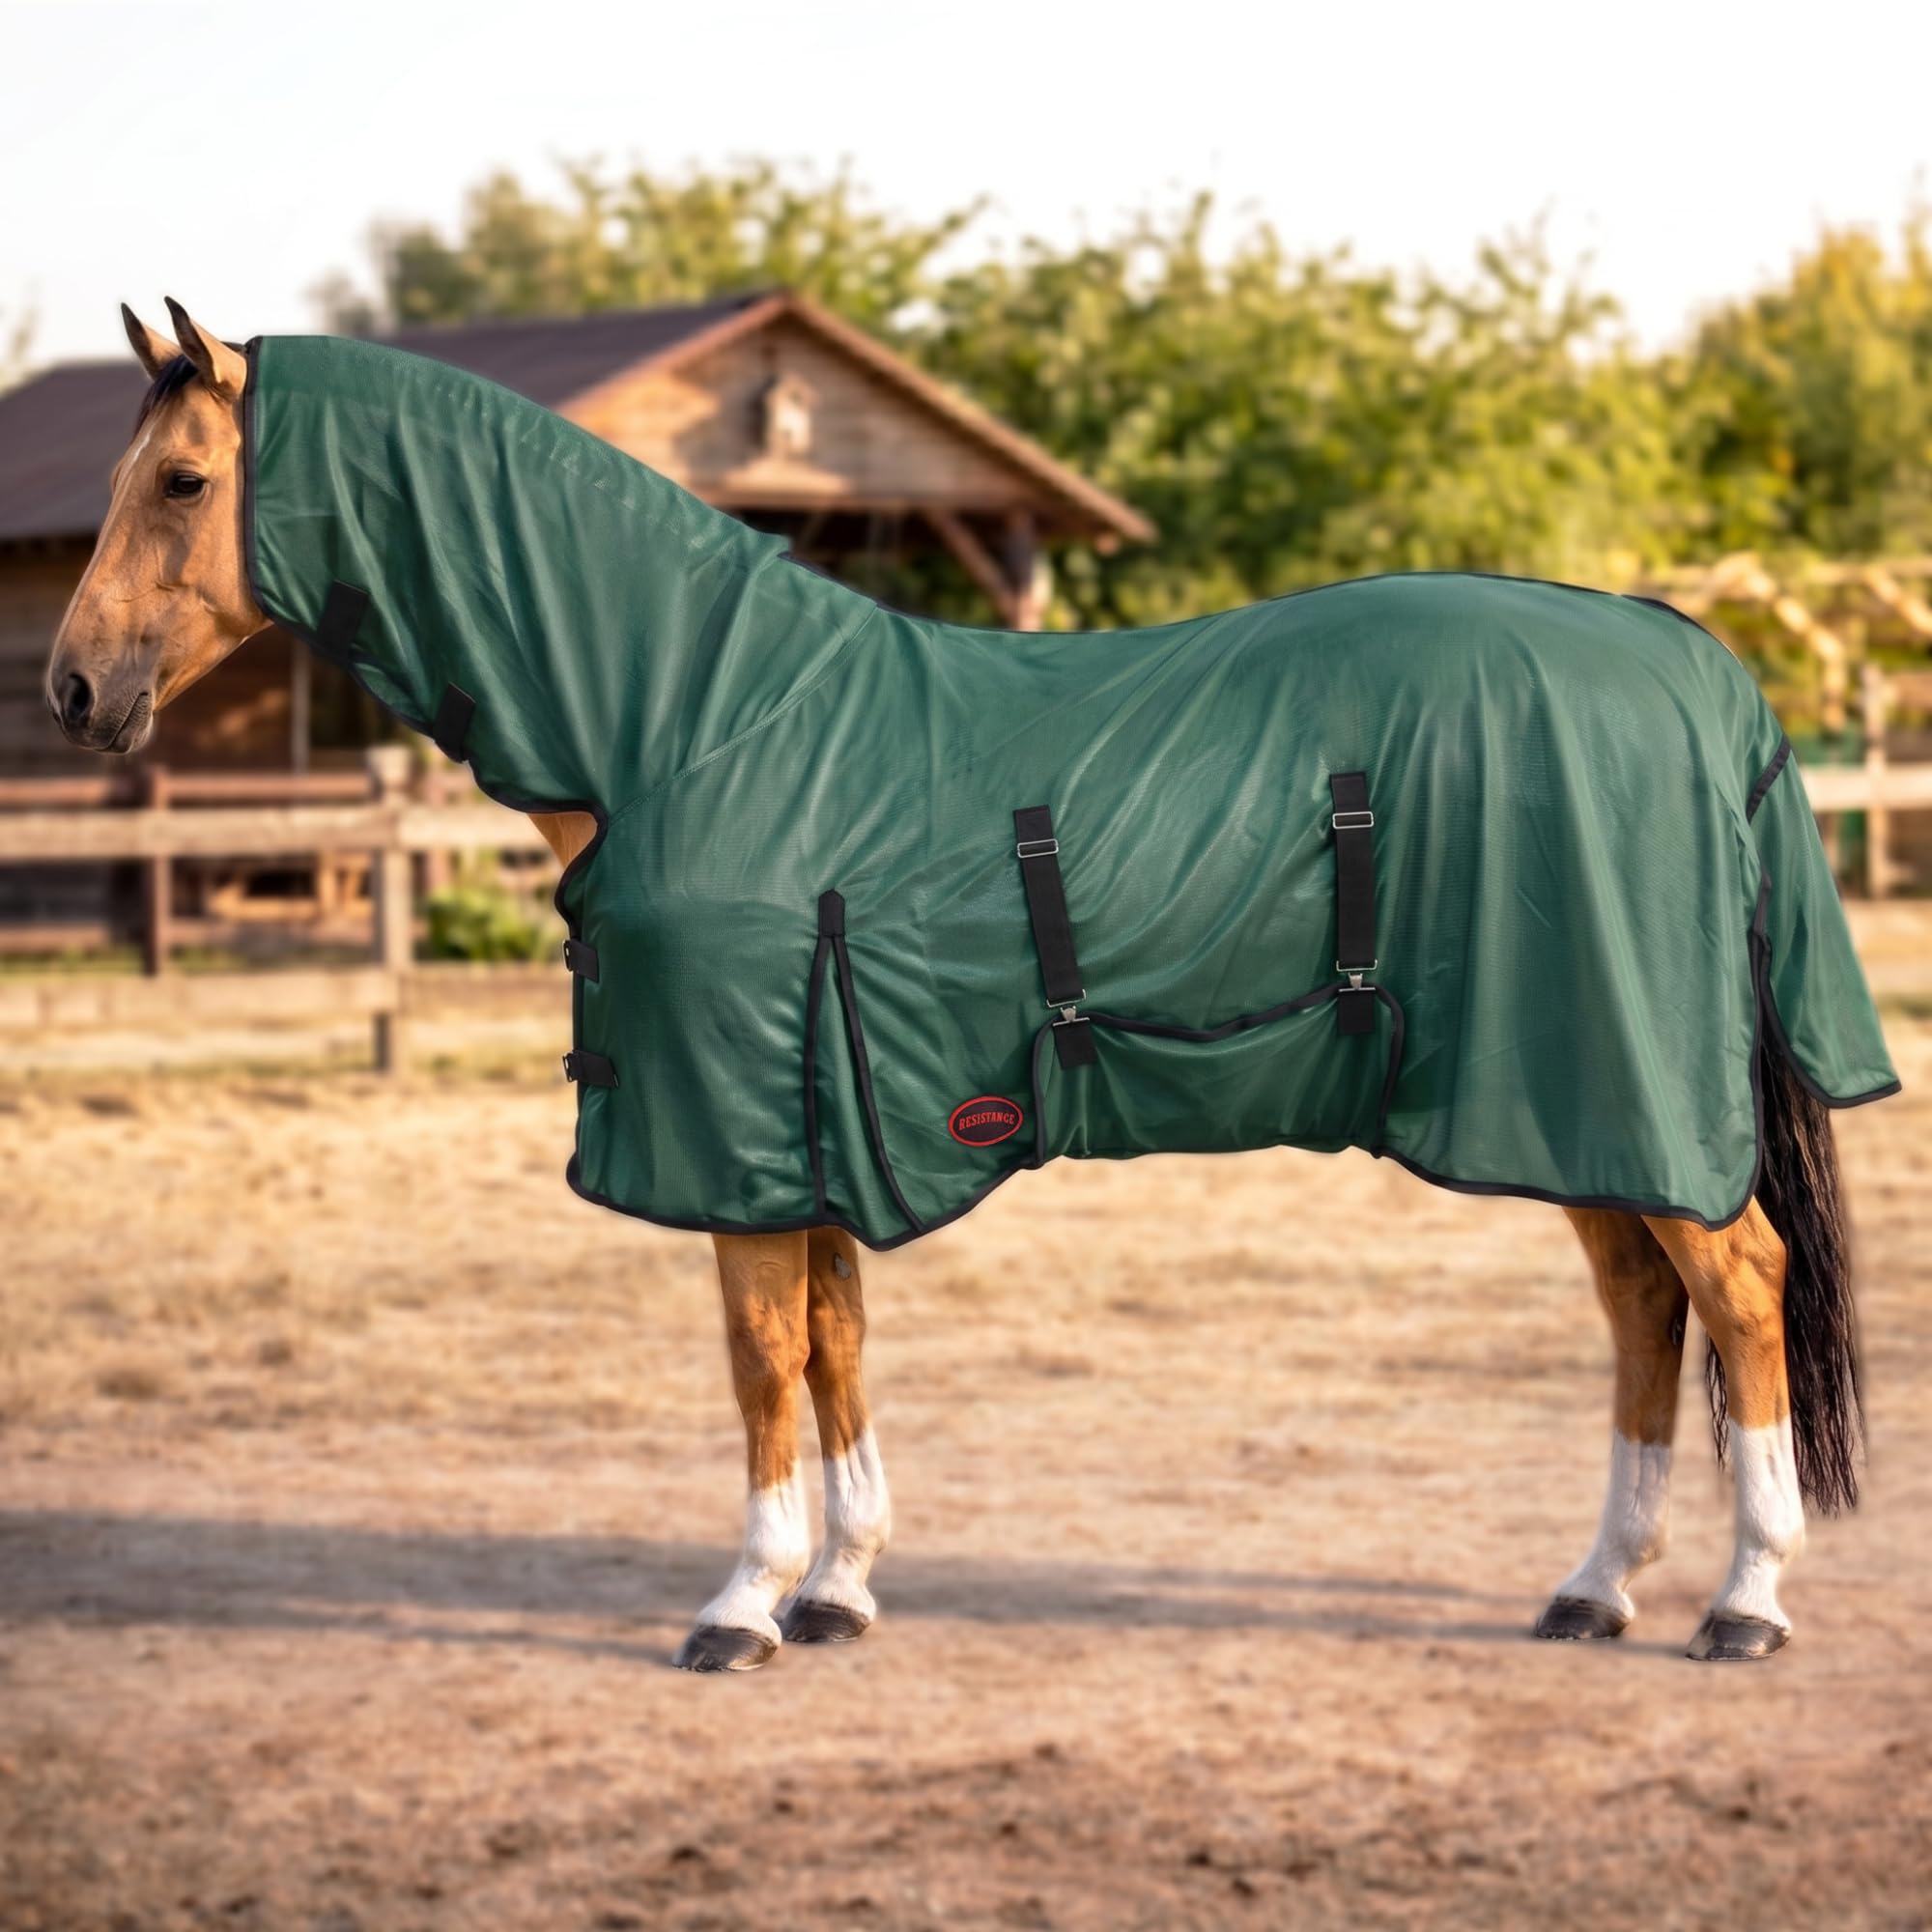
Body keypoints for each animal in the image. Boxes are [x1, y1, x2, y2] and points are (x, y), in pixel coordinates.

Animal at [42, 299, 1885, 1670]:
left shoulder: (744, 1132)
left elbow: (763, 1358)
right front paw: (841, 1586)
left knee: (1739, 1288)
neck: (690, 717)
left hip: (1618, 1092)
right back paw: (1596, 1587)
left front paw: (743, 1603)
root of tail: (1684, 652)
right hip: (1570, 1101)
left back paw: (1745, 1601)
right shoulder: (814, 1123)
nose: (67, 689)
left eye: (185, 482)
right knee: (1647, 1305)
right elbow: (838, 1345)